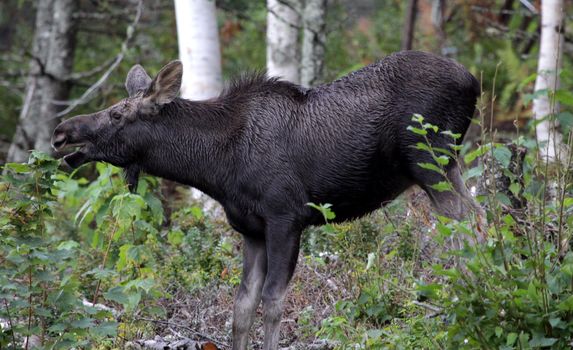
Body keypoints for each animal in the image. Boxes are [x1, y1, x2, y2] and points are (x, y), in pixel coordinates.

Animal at [52, 50, 482, 348]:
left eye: (117, 115)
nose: (60, 132)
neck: (215, 166)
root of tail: (473, 81)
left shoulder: (285, 218)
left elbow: (273, 302)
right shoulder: (251, 230)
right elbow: (242, 306)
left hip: (430, 159)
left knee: (465, 222)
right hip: (447, 164)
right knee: (479, 214)